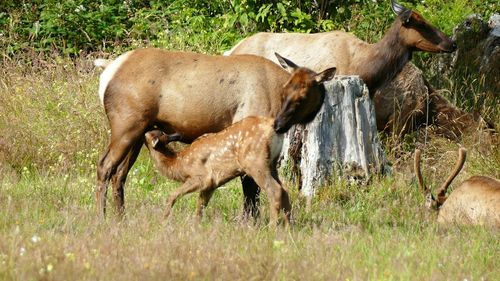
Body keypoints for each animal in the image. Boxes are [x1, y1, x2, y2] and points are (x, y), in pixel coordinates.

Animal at [95, 48, 334, 219]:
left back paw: (121, 218)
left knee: (120, 174)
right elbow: (250, 188)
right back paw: (101, 218)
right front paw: (250, 221)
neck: (274, 96)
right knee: (105, 166)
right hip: (126, 124)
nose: (279, 124)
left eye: (303, 95)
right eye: (285, 92)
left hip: (140, 130)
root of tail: (106, 74)